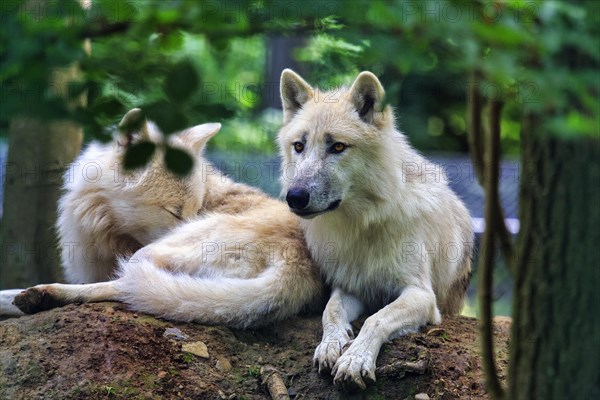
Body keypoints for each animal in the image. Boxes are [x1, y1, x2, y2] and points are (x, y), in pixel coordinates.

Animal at [3, 109, 324, 328]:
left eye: (195, 211)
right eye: (175, 211)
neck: (105, 225)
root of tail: (299, 267)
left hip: (153, 255)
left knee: (128, 287)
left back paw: (45, 295)